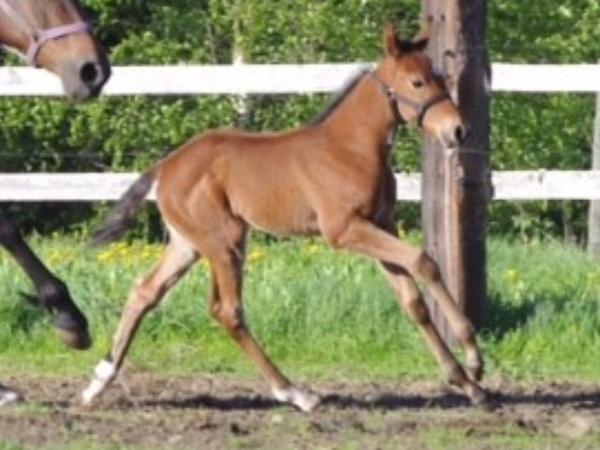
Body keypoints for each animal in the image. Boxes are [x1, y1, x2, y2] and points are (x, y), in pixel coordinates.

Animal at [82, 24, 488, 412]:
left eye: (439, 76)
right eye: (418, 81)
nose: (458, 129)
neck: (352, 147)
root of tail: (165, 166)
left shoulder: (378, 224)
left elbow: (413, 302)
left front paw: (466, 383)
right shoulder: (344, 230)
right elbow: (424, 260)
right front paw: (474, 358)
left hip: (188, 244)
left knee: (145, 292)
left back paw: (97, 382)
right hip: (224, 241)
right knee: (228, 311)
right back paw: (297, 394)